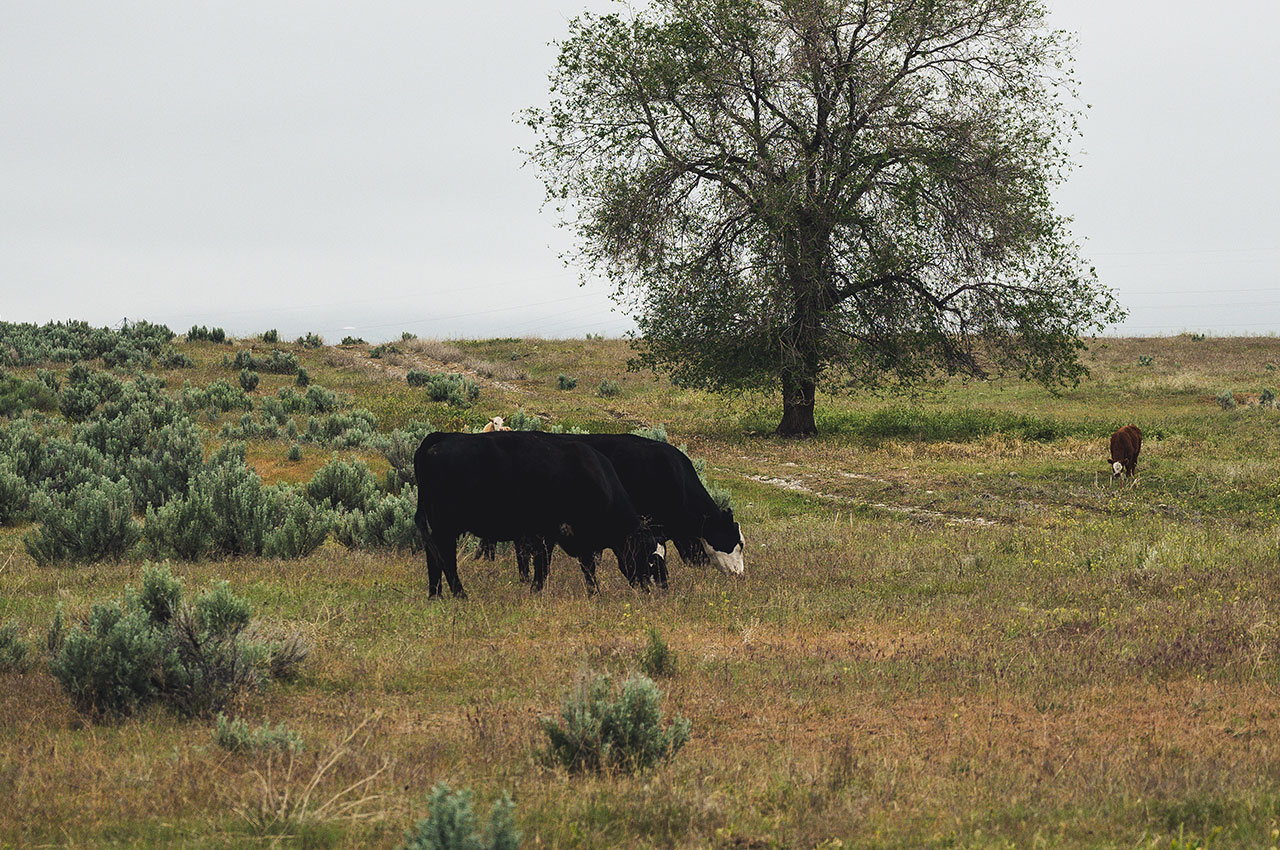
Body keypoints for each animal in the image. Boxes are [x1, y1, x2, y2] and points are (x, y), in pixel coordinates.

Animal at [412, 432, 670, 596]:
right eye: (649, 557)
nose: (661, 586)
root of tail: (439, 437)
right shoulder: (552, 533)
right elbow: (552, 566)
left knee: (433, 554)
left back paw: (435, 594)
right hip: (447, 525)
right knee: (445, 555)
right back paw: (459, 594)